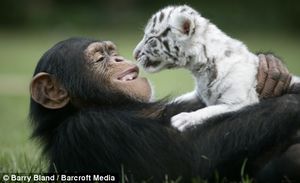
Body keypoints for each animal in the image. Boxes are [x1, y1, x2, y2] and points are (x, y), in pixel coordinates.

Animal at [29, 37, 300, 183]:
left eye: (111, 52)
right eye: (99, 58)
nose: (118, 59)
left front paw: (270, 69)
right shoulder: (90, 130)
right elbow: (188, 162)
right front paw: (292, 102)